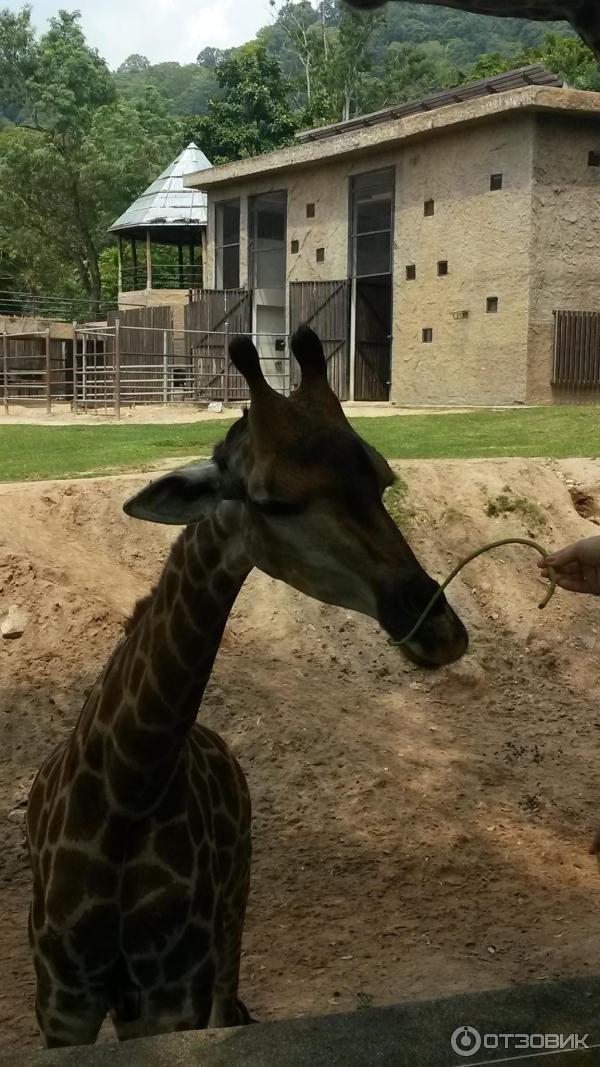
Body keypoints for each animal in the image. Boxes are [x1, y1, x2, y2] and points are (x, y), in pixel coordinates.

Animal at [26, 324, 467, 1049]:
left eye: (382, 477)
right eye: (271, 500)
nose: (441, 629)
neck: (127, 794)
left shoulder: (168, 998)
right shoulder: (62, 1003)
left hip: (236, 902)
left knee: (229, 996)